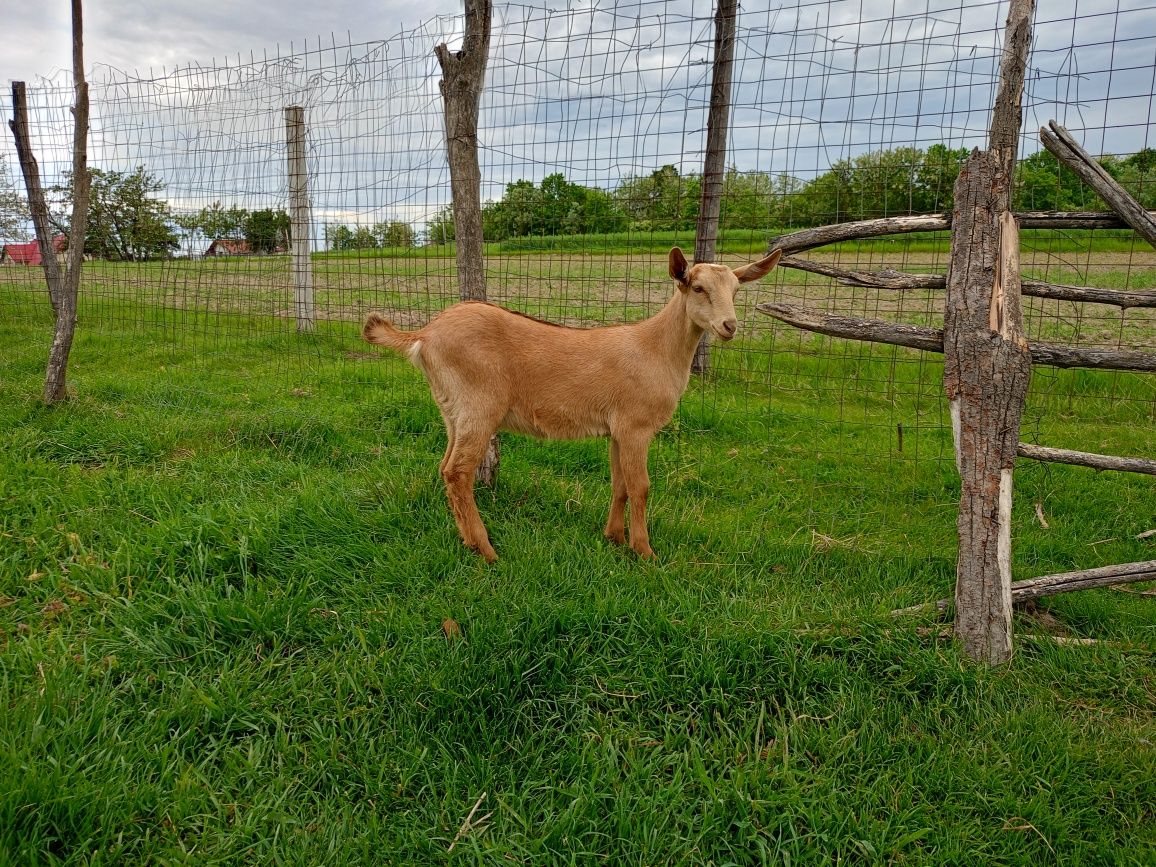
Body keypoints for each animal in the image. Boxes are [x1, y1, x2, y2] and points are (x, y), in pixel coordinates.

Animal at [365, 247, 781, 566]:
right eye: (697, 287)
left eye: (736, 290)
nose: (729, 326)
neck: (654, 349)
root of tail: (425, 334)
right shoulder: (636, 426)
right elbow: (641, 486)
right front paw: (645, 551)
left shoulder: (617, 429)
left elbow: (619, 483)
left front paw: (614, 537)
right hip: (478, 406)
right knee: (458, 472)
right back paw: (487, 551)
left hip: (452, 409)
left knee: (445, 466)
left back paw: (468, 541)